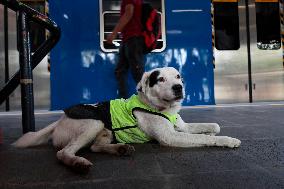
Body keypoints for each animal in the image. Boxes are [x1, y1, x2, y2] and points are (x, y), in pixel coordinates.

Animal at [12, 67, 240, 172]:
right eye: (160, 79)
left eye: (177, 77)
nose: (179, 87)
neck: (164, 109)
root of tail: (60, 120)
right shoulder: (170, 137)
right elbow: (207, 137)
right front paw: (228, 141)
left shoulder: (181, 127)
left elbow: (212, 126)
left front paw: (212, 130)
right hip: (94, 122)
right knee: (63, 152)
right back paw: (78, 162)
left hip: (105, 130)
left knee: (95, 147)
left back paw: (121, 149)